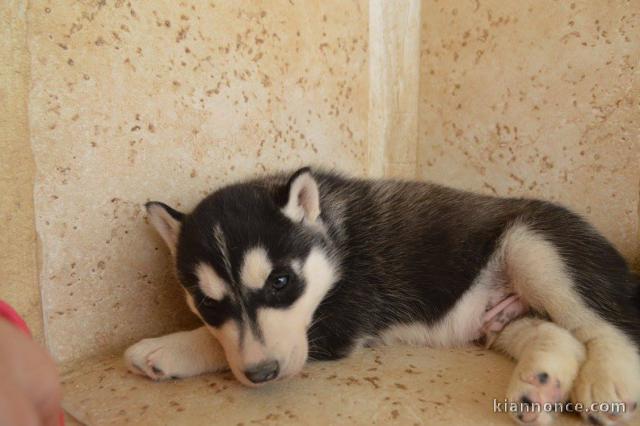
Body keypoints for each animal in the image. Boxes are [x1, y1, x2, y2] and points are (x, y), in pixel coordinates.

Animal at [125, 168, 640, 424]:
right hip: (493, 316)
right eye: (209, 303)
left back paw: (607, 383)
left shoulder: (341, 319)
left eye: (281, 282)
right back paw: (539, 384)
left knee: (605, 324)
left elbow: (219, 344)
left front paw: (165, 347)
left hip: (535, 246)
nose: (262, 374)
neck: (335, 240)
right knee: (559, 333)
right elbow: (222, 338)